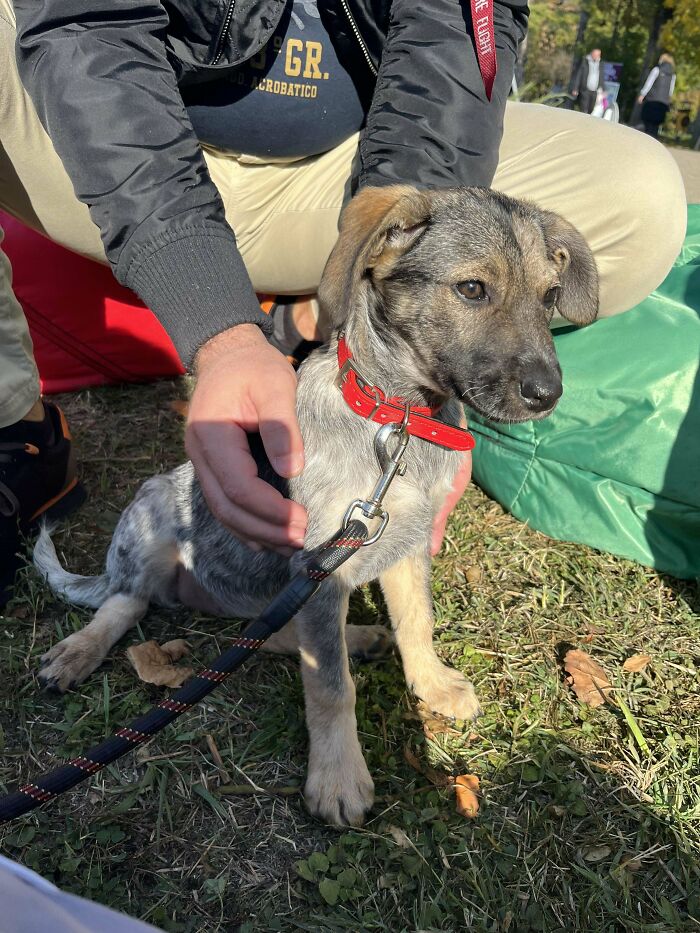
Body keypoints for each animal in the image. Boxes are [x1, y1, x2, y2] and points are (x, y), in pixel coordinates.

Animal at [34, 186, 596, 828]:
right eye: (473, 289)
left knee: (268, 633)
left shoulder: (403, 545)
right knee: (125, 604)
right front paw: (338, 775)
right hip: (151, 512)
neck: (399, 424)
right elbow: (330, 685)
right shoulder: (319, 567)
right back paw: (78, 651)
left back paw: (361, 638)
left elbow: (416, 621)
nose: (548, 395)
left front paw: (429, 683)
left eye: (550, 296)